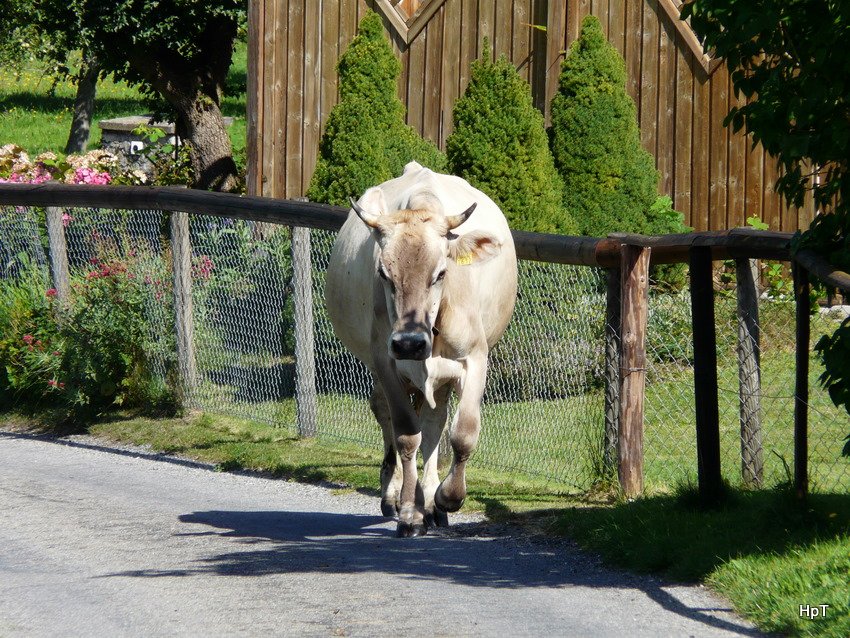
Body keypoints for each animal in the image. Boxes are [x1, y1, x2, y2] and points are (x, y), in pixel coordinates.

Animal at [322, 162, 516, 536]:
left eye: (441, 273)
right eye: (384, 274)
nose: (410, 343)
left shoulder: (475, 358)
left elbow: (462, 433)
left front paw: (446, 498)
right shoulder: (386, 362)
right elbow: (406, 435)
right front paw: (410, 512)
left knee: (434, 423)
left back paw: (431, 501)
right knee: (385, 412)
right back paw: (395, 494)